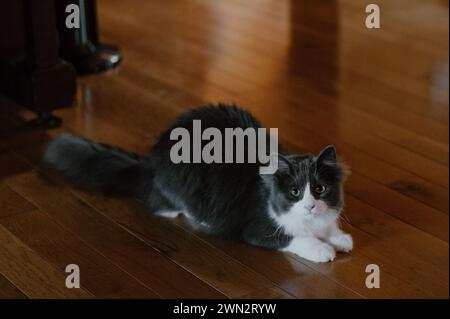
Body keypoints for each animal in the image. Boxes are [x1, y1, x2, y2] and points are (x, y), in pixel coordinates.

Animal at [42, 104, 352, 262]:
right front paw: (323, 249)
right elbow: (295, 237)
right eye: (295, 192)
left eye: (319, 189)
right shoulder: (259, 228)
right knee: (159, 205)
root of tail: (152, 161)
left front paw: (339, 239)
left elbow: (329, 228)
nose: (310, 206)